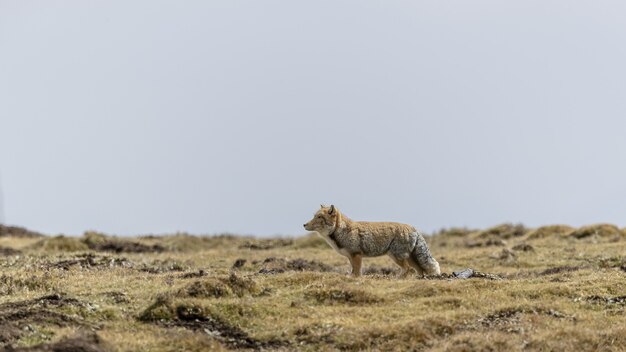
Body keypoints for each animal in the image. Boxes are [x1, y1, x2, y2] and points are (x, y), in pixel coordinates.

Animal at [302, 204, 438, 278]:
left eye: (319, 217)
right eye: (314, 216)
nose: (304, 224)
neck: (342, 231)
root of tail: (413, 228)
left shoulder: (356, 255)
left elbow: (357, 272)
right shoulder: (350, 257)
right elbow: (353, 271)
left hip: (397, 257)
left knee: (408, 269)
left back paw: (397, 278)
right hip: (408, 258)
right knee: (419, 270)